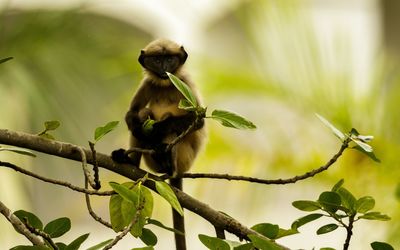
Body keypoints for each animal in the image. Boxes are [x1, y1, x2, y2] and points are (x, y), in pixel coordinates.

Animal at [112, 38, 206, 250]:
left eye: (169, 59)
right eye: (156, 60)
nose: (164, 69)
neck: (165, 85)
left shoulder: (184, 83)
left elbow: (199, 122)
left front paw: (157, 129)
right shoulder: (148, 83)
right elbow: (132, 114)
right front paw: (140, 128)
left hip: (183, 158)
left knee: (170, 125)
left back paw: (166, 159)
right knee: (143, 113)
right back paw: (130, 160)